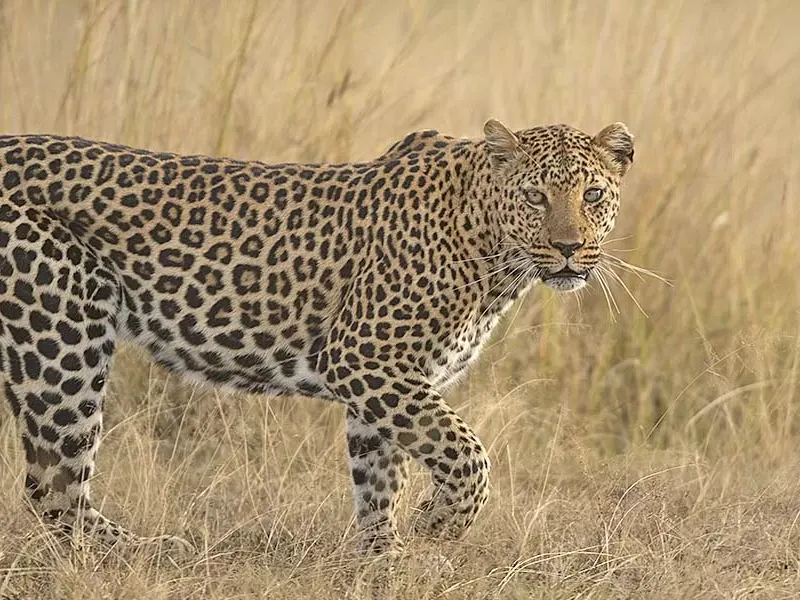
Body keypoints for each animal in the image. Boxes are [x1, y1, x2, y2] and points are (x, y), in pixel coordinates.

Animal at [0, 118, 633, 556]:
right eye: (535, 197)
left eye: (592, 196)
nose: (570, 247)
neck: (492, 254)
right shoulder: (366, 358)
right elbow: (467, 452)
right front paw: (436, 526)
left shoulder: (386, 381)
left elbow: (380, 478)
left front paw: (384, 558)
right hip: (65, 333)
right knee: (54, 485)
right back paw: (141, 555)